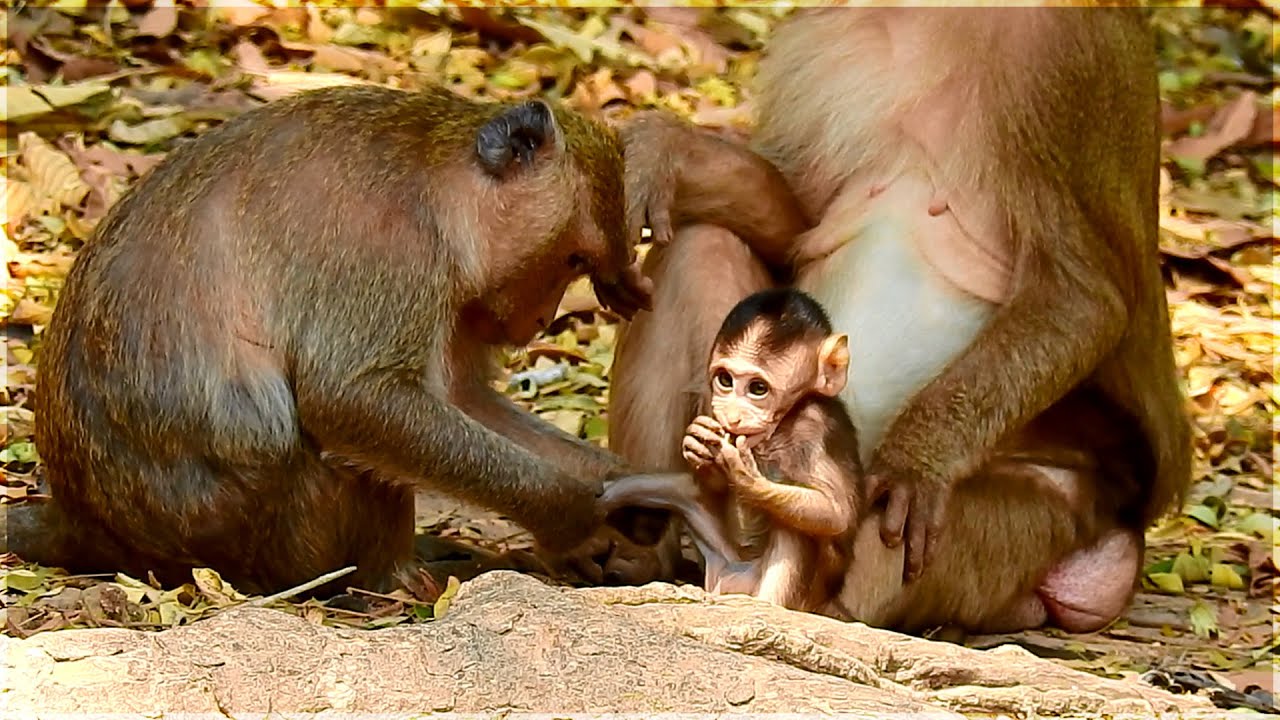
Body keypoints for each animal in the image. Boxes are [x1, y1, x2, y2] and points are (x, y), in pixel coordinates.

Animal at [7, 83, 663, 597]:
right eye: (574, 260)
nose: (541, 320)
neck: (435, 179)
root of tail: (87, 523)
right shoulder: (388, 248)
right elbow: (353, 399)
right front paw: (572, 516)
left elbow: (459, 397)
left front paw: (625, 488)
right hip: (250, 536)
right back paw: (392, 583)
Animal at [603, 287, 864, 613]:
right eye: (725, 380)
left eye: (758, 388)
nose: (732, 416)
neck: (780, 427)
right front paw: (699, 446)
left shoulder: (813, 428)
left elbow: (835, 513)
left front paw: (747, 478)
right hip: (723, 562)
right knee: (682, 491)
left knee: (795, 530)